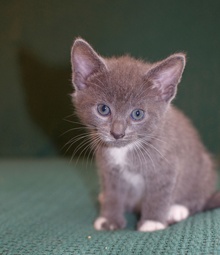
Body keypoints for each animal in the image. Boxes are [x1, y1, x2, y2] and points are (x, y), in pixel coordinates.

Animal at [71, 38, 220, 233]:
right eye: (103, 109)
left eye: (137, 114)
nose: (117, 133)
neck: (124, 150)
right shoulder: (108, 169)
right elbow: (113, 193)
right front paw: (109, 219)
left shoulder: (167, 165)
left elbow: (159, 194)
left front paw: (152, 222)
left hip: (202, 168)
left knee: (198, 199)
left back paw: (177, 209)